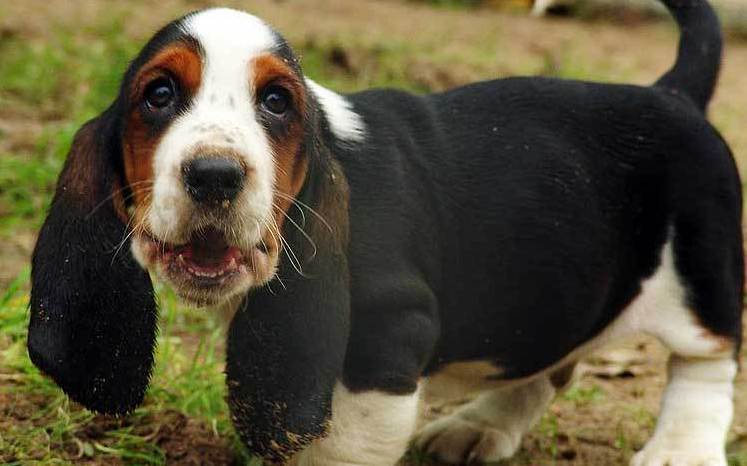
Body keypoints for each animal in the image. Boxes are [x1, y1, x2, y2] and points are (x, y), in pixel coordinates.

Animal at [27, 1, 744, 464]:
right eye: (158, 95)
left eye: (277, 102)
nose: (213, 176)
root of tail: (673, 93)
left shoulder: (385, 339)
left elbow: (340, 448)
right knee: (548, 367)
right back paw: (477, 429)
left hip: (699, 272)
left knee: (705, 363)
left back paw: (677, 451)